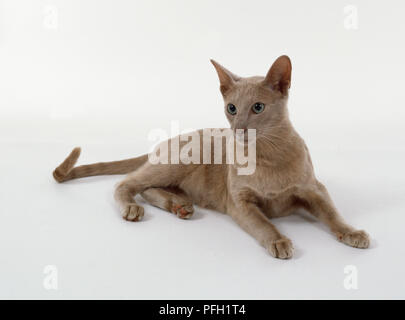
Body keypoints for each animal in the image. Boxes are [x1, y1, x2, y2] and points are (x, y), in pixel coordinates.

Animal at [52, 55, 370, 260]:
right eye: (231, 108)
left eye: (257, 107)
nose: (238, 127)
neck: (266, 155)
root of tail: (168, 140)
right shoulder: (240, 202)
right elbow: (263, 223)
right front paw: (279, 241)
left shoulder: (314, 189)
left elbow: (333, 213)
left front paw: (352, 233)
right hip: (181, 160)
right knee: (128, 183)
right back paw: (134, 208)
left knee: (147, 188)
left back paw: (179, 205)